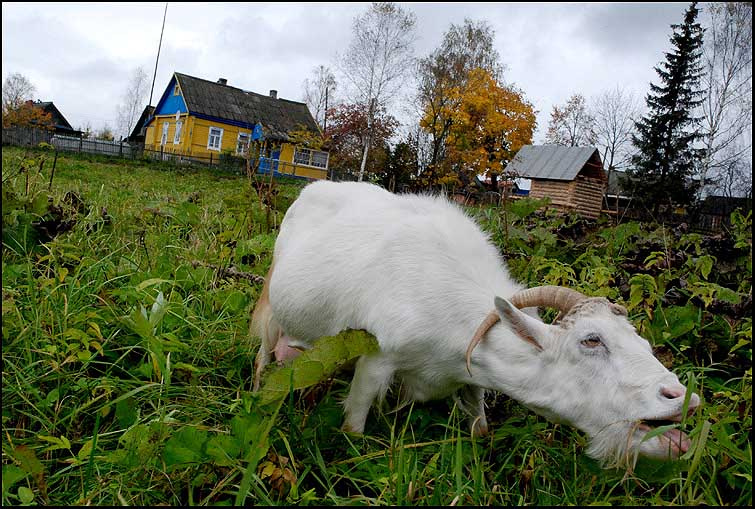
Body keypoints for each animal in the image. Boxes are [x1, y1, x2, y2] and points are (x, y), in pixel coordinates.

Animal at [251, 181, 701, 467]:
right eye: (591, 341)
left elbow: (480, 425)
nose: (683, 397)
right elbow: (355, 426)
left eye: (643, 345)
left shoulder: (468, 376)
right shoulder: (377, 357)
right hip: (272, 305)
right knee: (262, 355)